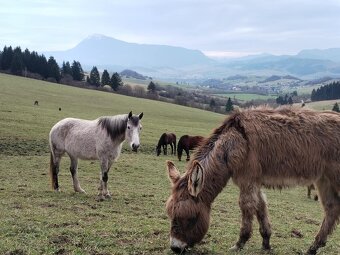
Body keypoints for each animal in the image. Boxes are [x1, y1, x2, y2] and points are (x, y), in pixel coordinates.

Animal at [166, 106, 340, 255]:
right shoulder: (255, 181)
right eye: (170, 214)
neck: (235, 140)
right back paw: (313, 247)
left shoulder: (247, 180)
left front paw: (239, 243)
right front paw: (266, 243)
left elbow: (247, 206)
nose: (175, 248)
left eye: (191, 217)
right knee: (332, 208)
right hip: (324, 179)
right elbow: (261, 207)